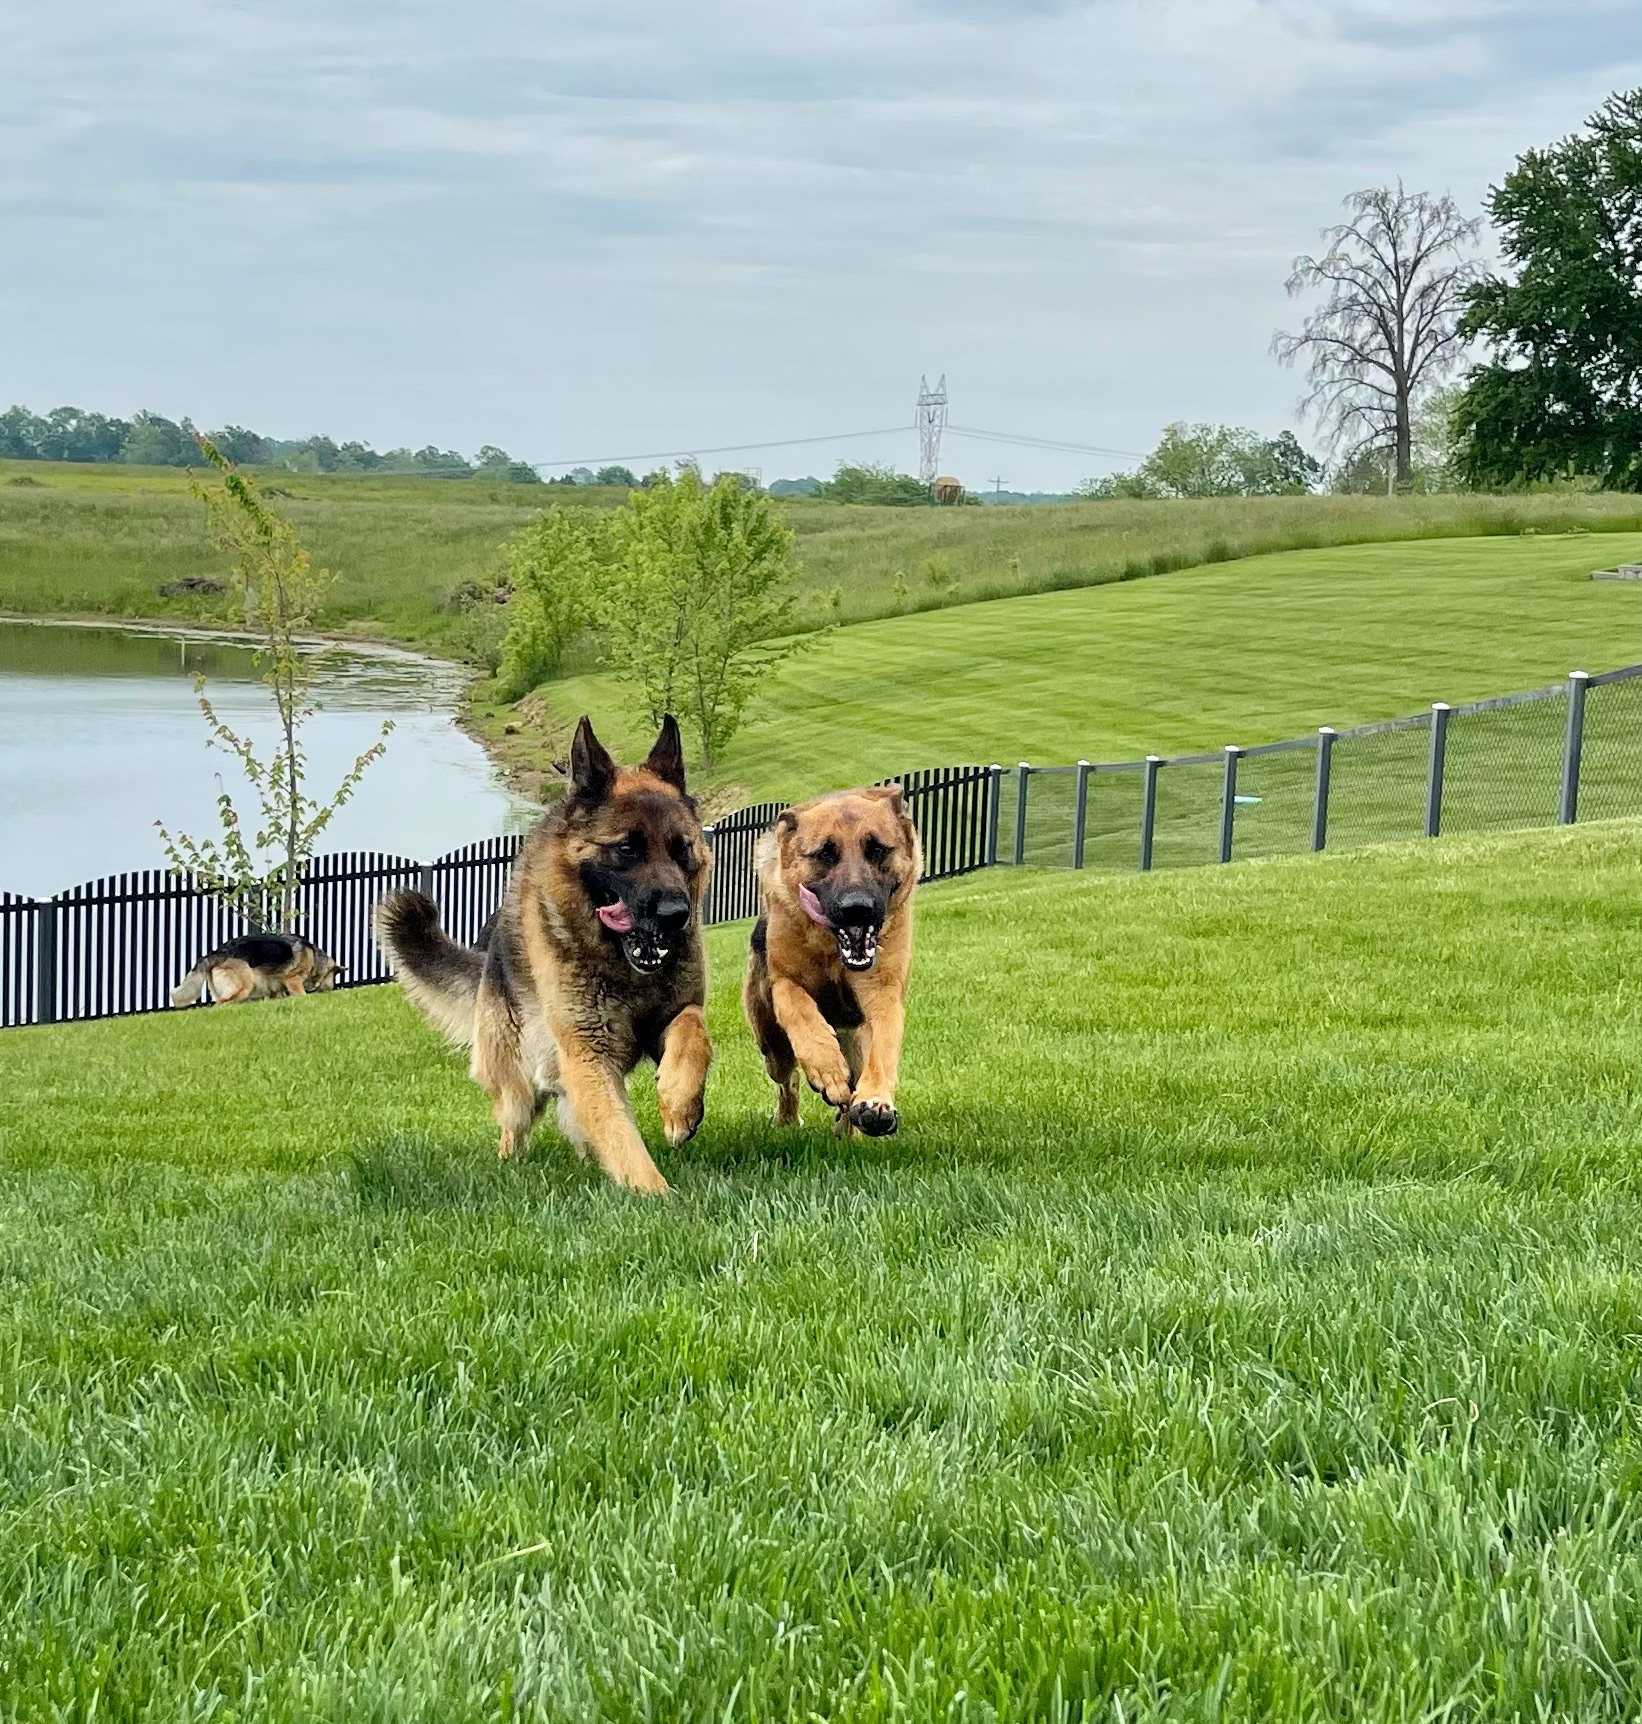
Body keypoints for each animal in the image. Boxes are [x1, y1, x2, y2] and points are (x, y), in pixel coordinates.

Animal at [171, 937, 341, 1006]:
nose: (331, 989)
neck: (315, 958)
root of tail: (213, 954)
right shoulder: (293, 979)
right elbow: (302, 994)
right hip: (245, 985)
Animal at [377, 710, 710, 1186]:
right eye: (627, 848)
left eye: (682, 849)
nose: (675, 914)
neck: (619, 964)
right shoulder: (588, 1055)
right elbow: (621, 1137)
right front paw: (654, 1192)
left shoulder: (673, 1015)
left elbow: (693, 1029)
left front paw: (680, 1105)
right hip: (518, 1081)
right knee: (514, 1125)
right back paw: (510, 1165)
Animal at [745, 789, 924, 1137]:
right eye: (825, 854)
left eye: (877, 849)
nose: (858, 908)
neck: (832, 948)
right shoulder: (784, 983)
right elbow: (801, 1013)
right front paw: (827, 1069)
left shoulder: (882, 992)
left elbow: (883, 1045)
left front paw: (875, 1101)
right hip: (772, 1046)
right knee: (788, 1079)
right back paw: (789, 1118)